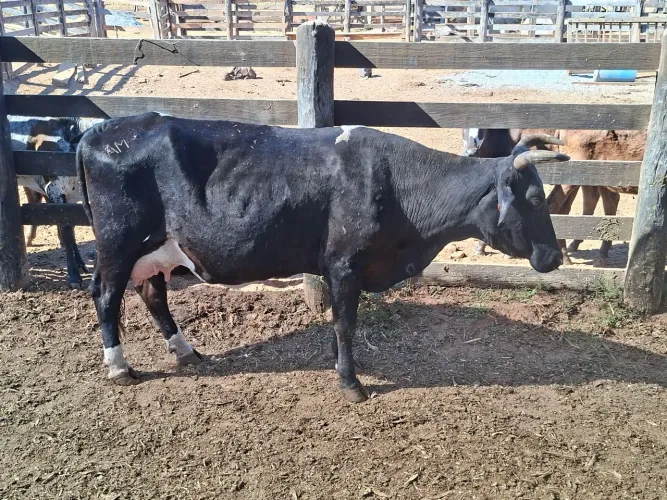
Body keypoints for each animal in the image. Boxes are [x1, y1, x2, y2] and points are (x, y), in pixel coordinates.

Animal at [76, 113, 567, 403]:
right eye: (535, 198)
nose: (555, 257)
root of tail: (106, 128)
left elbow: (337, 322)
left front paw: (339, 364)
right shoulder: (345, 264)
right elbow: (346, 323)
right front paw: (351, 383)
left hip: (155, 249)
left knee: (152, 294)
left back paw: (186, 351)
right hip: (118, 242)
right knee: (106, 294)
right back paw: (119, 366)